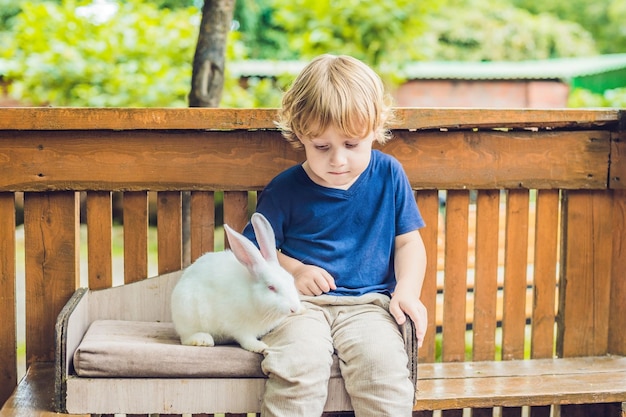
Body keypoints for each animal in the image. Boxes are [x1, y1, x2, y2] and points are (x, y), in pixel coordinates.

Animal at [168, 211, 300, 352]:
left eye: (291, 280)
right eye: (271, 287)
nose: (294, 308)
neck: (252, 295)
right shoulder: (240, 327)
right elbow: (246, 339)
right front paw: (259, 347)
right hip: (188, 312)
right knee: (186, 337)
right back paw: (202, 340)